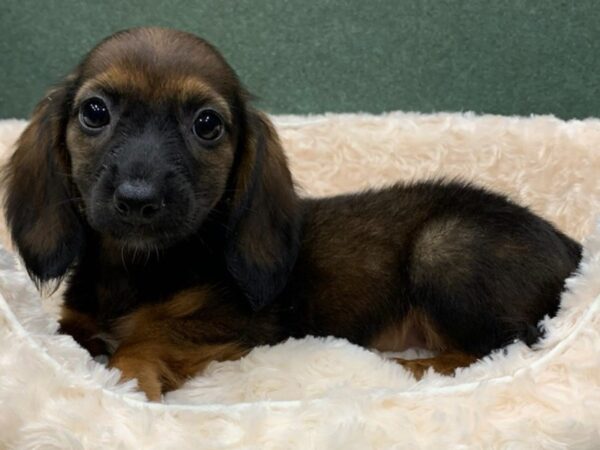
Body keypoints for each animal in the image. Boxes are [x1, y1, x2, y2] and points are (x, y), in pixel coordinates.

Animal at [2, 27, 580, 400]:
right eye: (94, 112)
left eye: (207, 124)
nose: (139, 199)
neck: (137, 267)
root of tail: (573, 247)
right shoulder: (76, 324)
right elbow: (71, 339)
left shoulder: (230, 328)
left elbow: (148, 341)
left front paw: (125, 378)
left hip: (446, 247)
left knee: (505, 346)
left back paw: (408, 367)